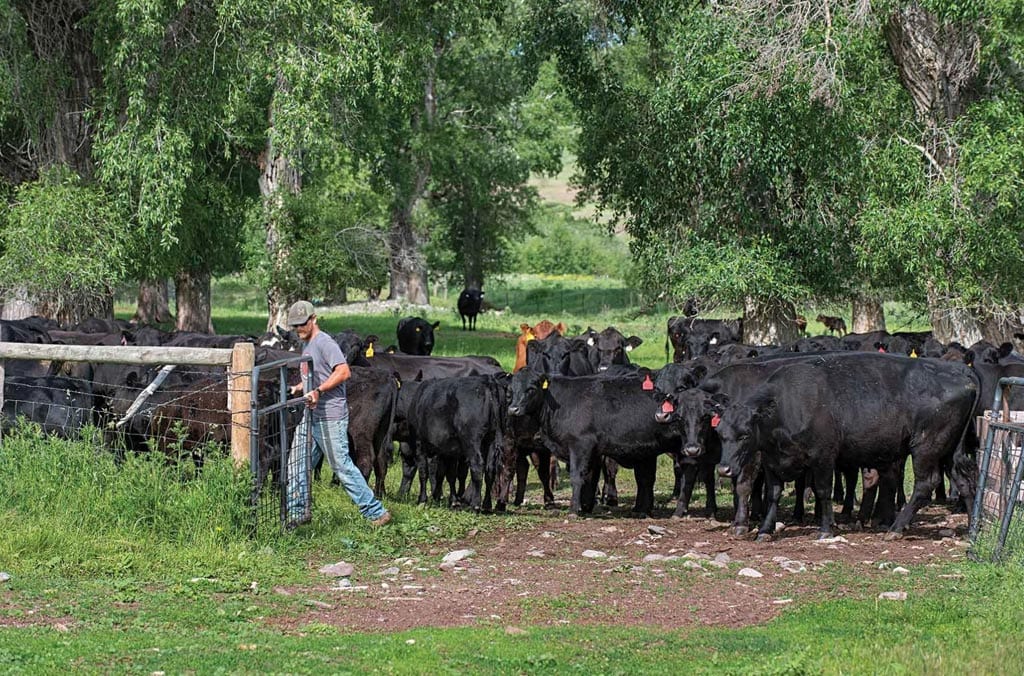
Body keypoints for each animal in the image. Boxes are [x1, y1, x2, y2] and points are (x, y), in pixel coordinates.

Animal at [716, 350, 978, 540]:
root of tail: (961, 372)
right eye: (719, 433)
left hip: (926, 447)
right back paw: (973, 529)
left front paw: (825, 529)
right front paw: (764, 530)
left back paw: (895, 528)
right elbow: (773, 494)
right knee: (964, 481)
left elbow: (823, 491)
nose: (723, 469)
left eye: (745, 434)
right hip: (950, 449)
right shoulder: (771, 459)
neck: (789, 405)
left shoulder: (823, 457)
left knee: (925, 484)